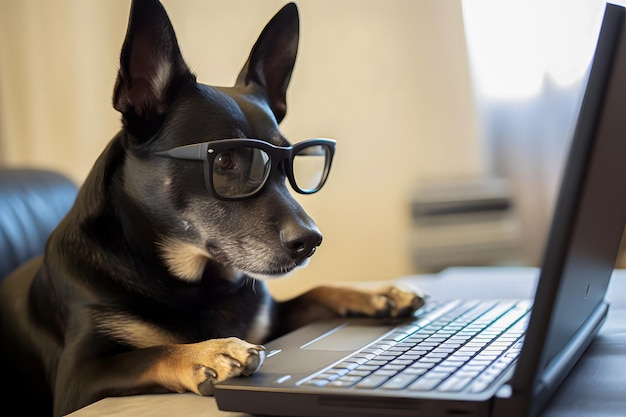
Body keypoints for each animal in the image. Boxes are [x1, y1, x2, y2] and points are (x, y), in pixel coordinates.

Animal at [0, 1, 424, 414]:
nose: (311, 241)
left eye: (291, 161)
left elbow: (314, 292)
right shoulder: (76, 379)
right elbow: (152, 351)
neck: (195, 281)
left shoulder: (271, 319)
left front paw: (376, 294)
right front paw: (212, 351)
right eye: (224, 161)